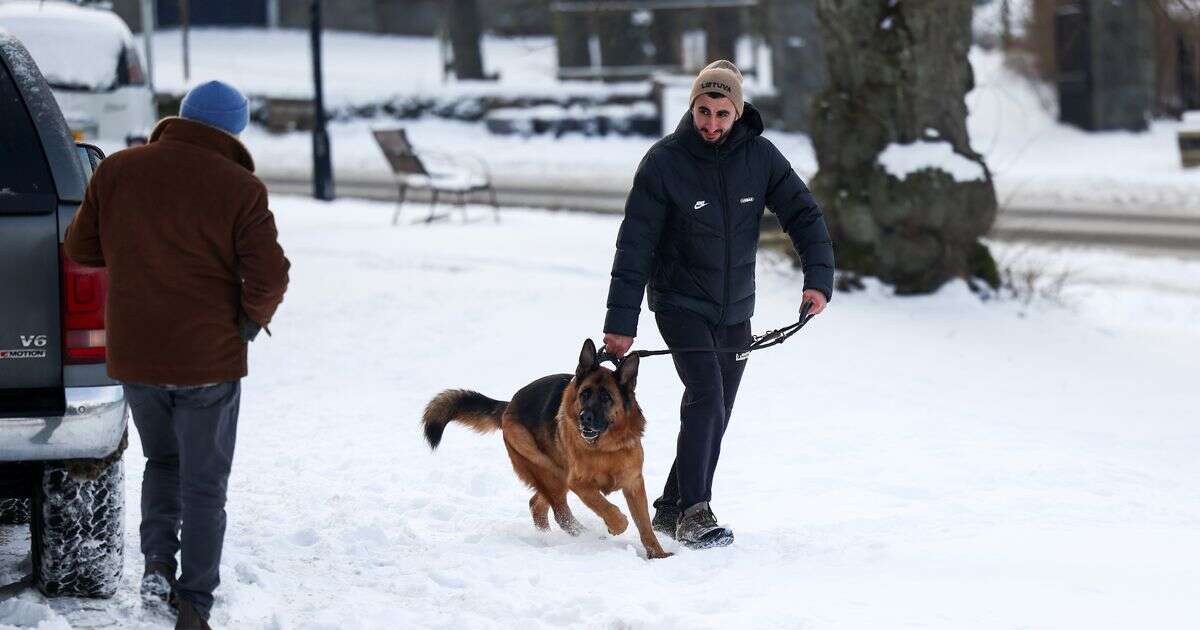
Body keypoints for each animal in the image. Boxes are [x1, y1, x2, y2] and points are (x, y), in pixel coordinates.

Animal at [422, 338, 672, 559]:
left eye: (606, 398)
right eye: (584, 394)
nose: (584, 418)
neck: (605, 448)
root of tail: (509, 405)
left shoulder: (634, 483)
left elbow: (644, 524)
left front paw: (657, 554)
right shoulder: (578, 483)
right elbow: (605, 506)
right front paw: (616, 525)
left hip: (552, 476)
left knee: (537, 504)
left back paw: (550, 537)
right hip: (550, 472)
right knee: (561, 513)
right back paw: (587, 537)